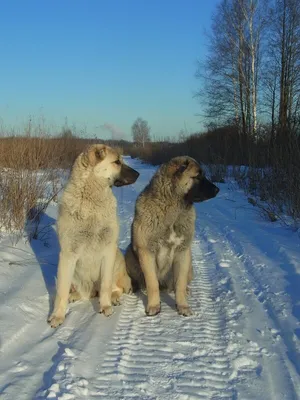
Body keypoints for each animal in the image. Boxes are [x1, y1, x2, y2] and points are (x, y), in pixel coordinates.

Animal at [48, 144, 139, 328]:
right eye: (117, 162)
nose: (138, 174)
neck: (91, 198)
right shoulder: (68, 255)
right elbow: (61, 290)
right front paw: (58, 316)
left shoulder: (108, 250)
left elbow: (106, 285)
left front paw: (105, 307)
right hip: (76, 275)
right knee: (83, 292)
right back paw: (75, 296)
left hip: (117, 262)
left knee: (114, 288)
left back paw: (114, 298)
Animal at [125, 155, 219, 316]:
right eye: (197, 176)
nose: (218, 189)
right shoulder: (146, 252)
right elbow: (152, 283)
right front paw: (154, 306)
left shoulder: (182, 251)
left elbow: (180, 283)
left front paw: (183, 306)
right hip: (129, 254)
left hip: (190, 265)